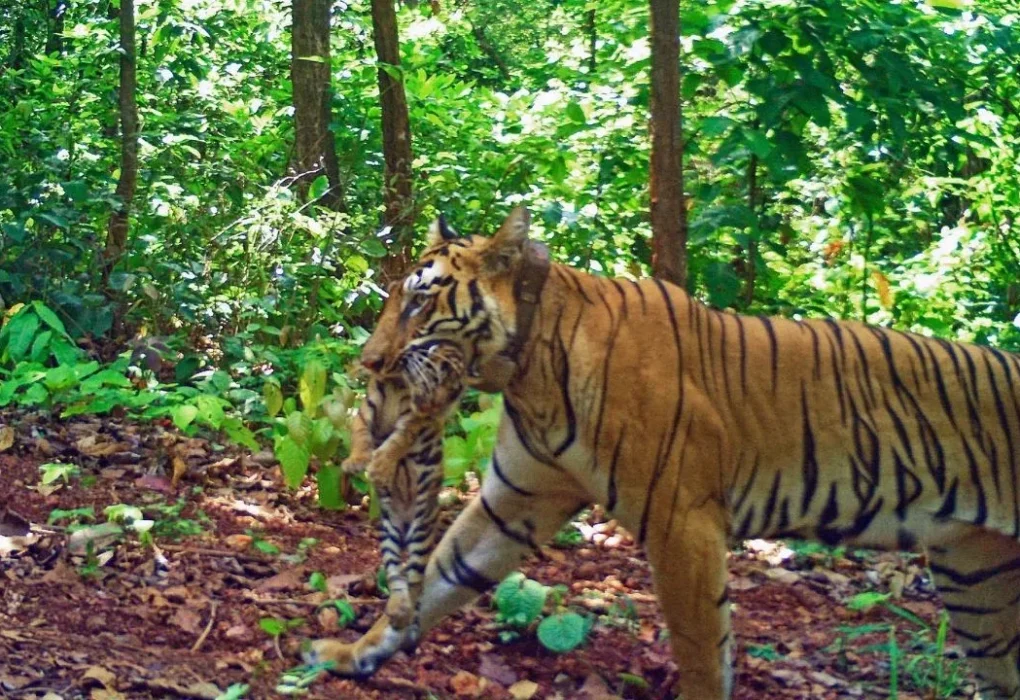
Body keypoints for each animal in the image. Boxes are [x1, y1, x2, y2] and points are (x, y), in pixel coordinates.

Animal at [343, 315, 467, 629]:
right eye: (439, 373)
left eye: (452, 387)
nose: (435, 404)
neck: (395, 383)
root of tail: (406, 521)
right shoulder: (365, 413)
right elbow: (360, 436)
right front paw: (356, 461)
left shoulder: (410, 420)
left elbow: (394, 443)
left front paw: (379, 468)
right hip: (388, 533)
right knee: (395, 574)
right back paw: (397, 609)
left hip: (422, 526)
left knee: (414, 576)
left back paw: (406, 610)